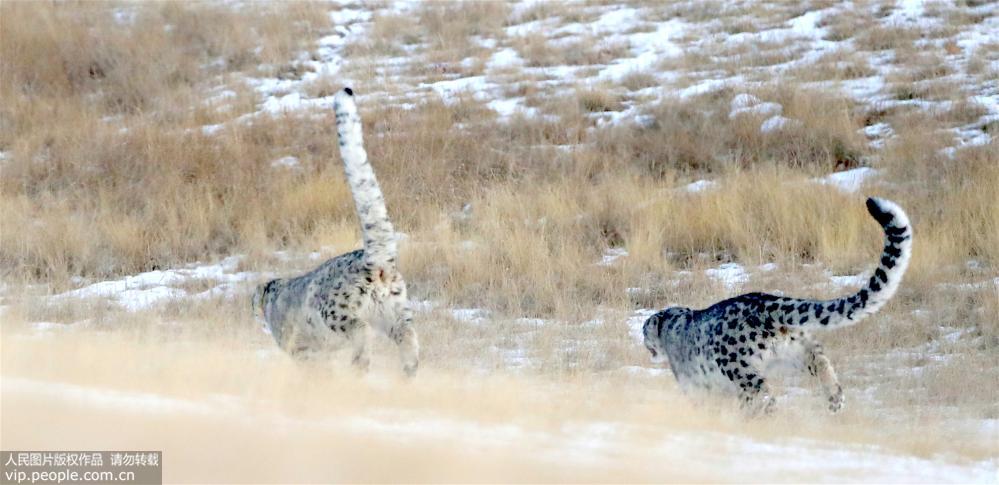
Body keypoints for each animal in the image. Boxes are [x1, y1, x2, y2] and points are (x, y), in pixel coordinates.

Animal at [254, 88, 422, 374]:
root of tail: (377, 265)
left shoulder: (300, 349)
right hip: (395, 310)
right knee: (407, 333)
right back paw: (409, 370)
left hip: (337, 312)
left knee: (361, 329)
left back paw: (359, 364)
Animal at [640, 197, 916, 412]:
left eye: (644, 332)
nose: (646, 345)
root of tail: (769, 304)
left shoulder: (694, 385)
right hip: (797, 348)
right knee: (820, 361)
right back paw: (834, 399)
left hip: (738, 366)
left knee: (762, 391)